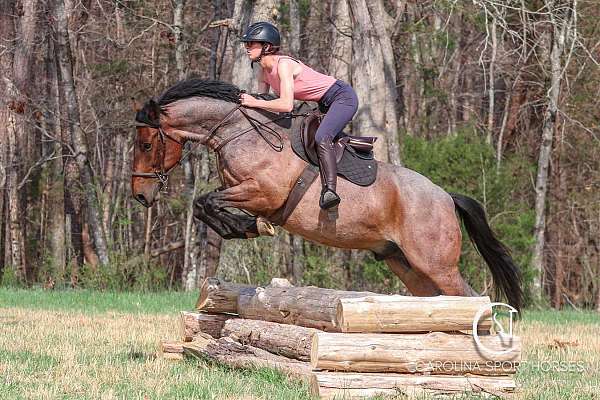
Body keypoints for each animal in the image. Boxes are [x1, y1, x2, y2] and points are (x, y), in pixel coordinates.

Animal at [130, 78, 520, 310]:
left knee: (471, 299)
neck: (239, 132)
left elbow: (207, 202)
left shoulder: (262, 194)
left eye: (146, 144)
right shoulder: (240, 191)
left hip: (436, 263)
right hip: (406, 264)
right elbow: (204, 206)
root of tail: (446, 196)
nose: (140, 196)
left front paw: (247, 228)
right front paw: (244, 227)